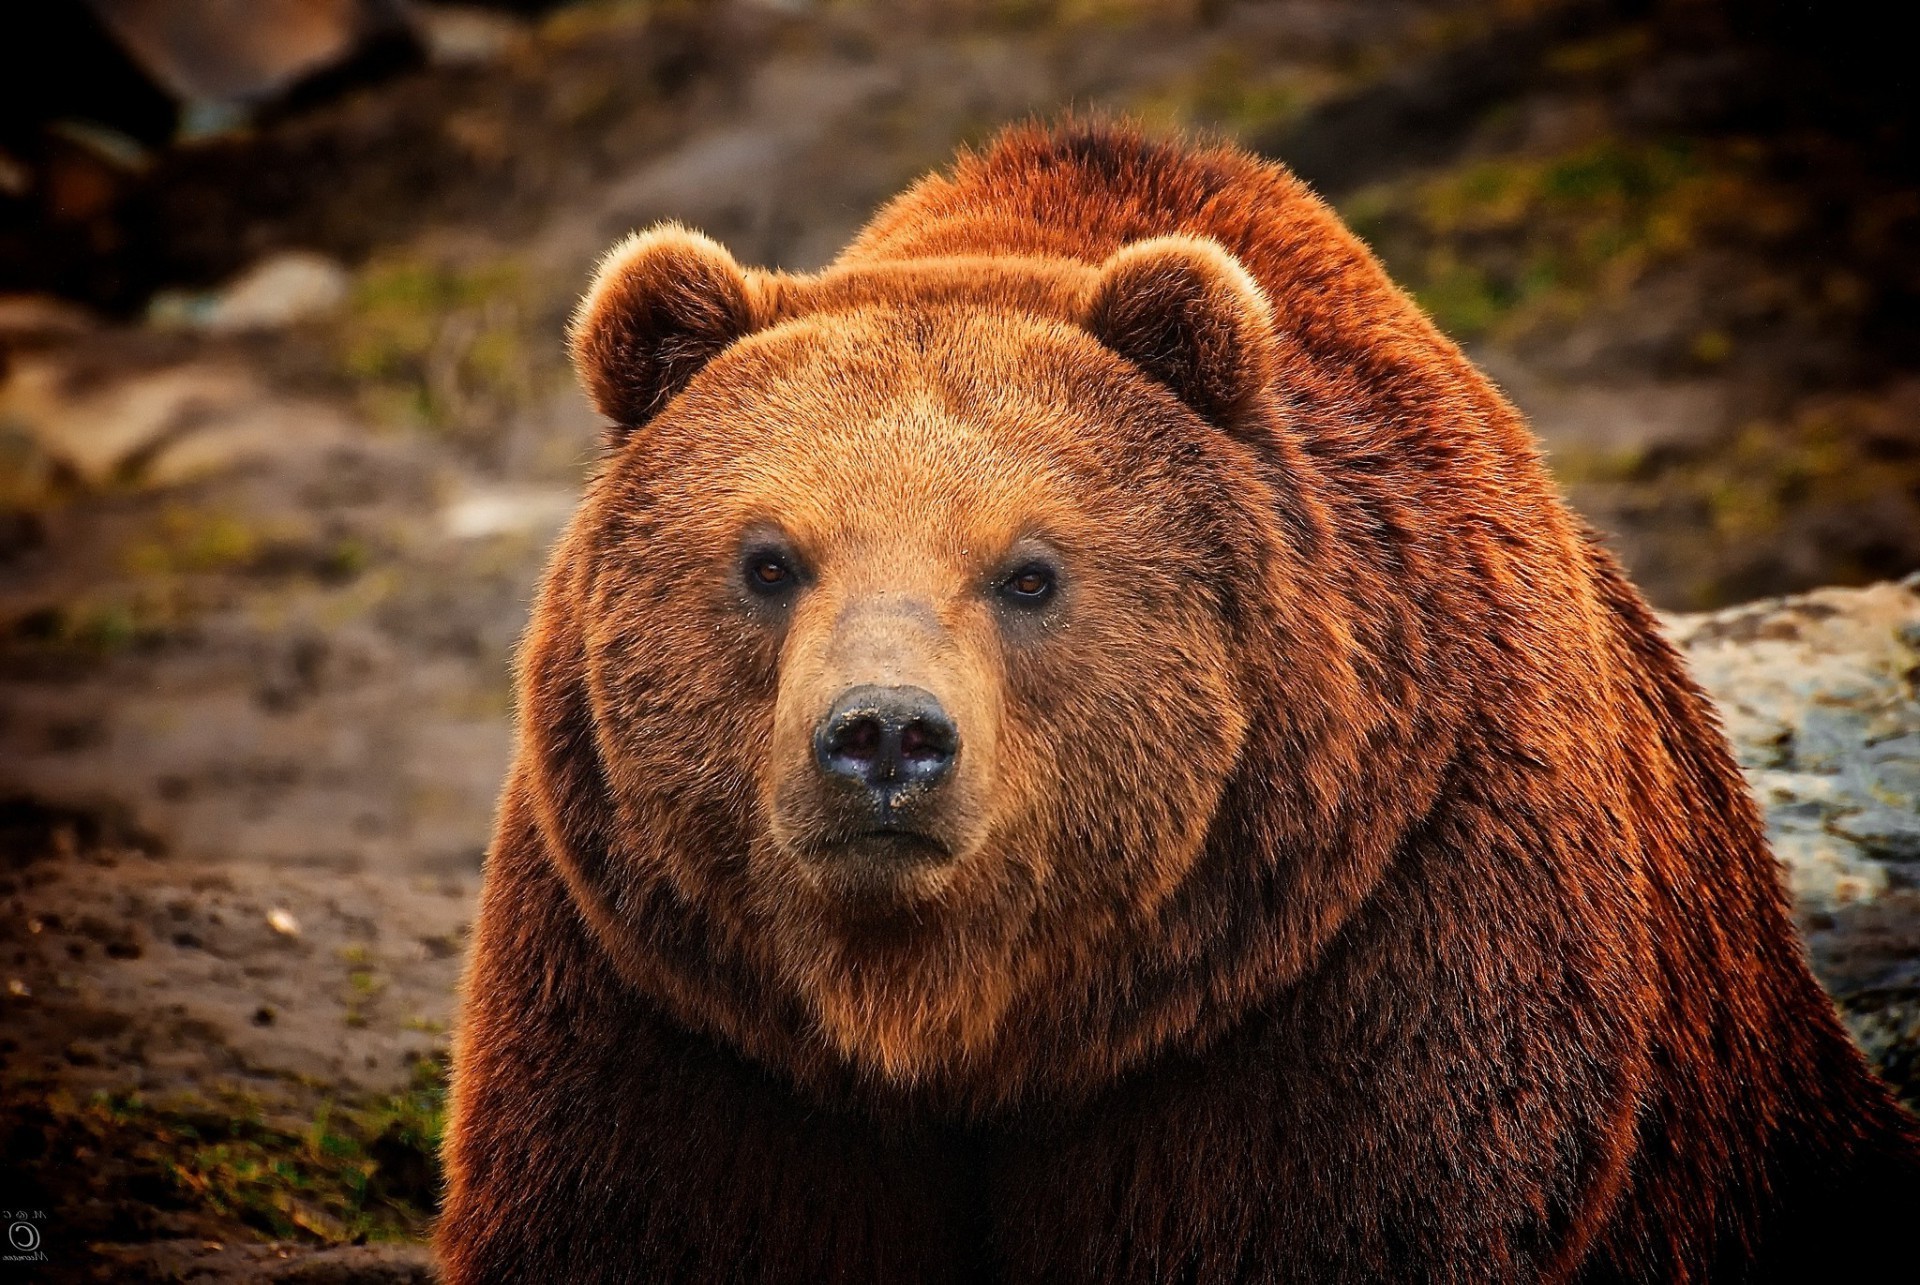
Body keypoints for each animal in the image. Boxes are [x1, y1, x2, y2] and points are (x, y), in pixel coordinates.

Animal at [435, 120, 1920, 1283]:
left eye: (1030, 571)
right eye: (767, 558)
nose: (884, 739)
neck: (957, 1015)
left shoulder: (1360, 958)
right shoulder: (680, 1000)